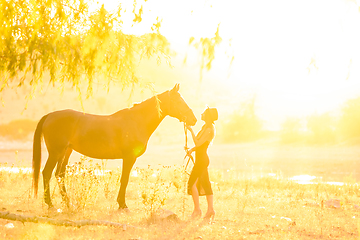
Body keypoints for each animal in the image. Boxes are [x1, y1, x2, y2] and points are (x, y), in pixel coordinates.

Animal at [32, 84, 197, 210]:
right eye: (178, 101)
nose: (193, 119)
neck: (137, 121)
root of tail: (49, 116)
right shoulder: (129, 157)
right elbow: (124, 179)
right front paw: (122, 205)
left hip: (66, 152)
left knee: (60, 174)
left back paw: (67, 203)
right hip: (56, 152)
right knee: (46, 173)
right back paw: (50, 204)